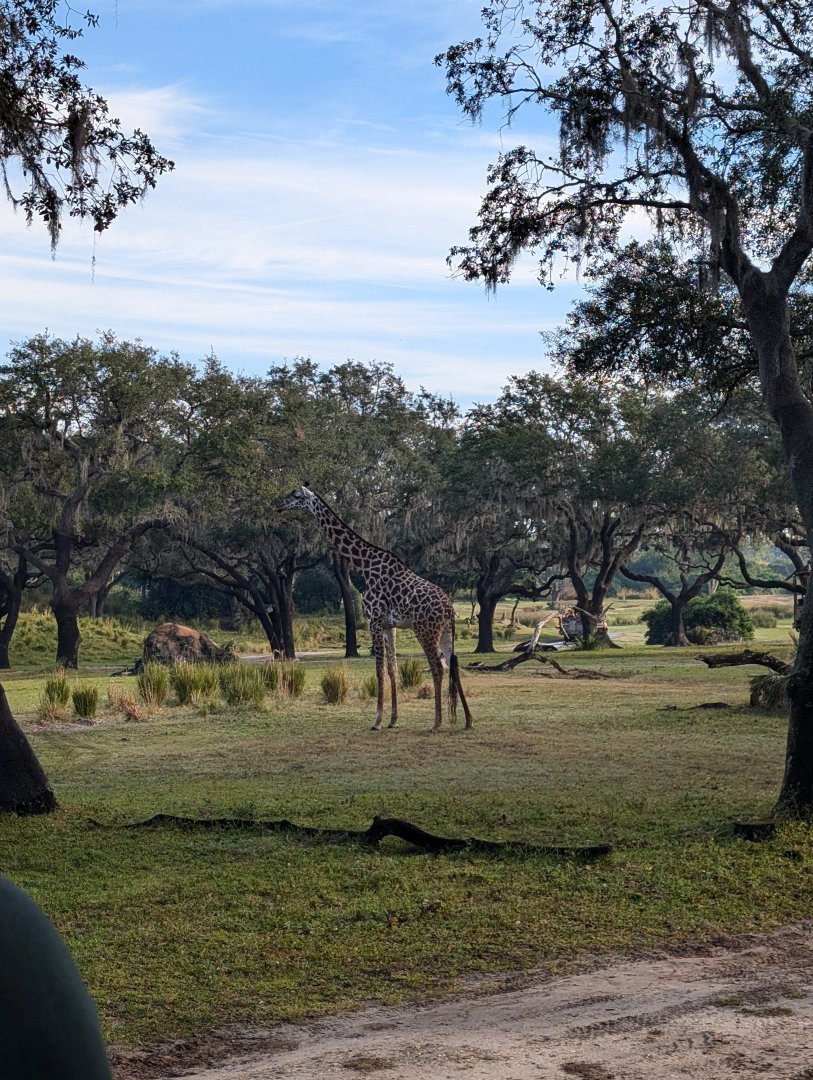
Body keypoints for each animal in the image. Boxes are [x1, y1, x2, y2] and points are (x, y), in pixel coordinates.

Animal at [279, 486, 473, 732]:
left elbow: (379, 670)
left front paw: (377, 721)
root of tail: (449, 608)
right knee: (454, 667)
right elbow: (392, 669)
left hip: (425, 630)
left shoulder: (374, 620)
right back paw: (468, 720)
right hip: (446, 632)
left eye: (296, 495)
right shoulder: (390, 626)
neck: (365, 565)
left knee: (438, 668)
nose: (279, 505)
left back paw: (436, 723)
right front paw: (393, 720)